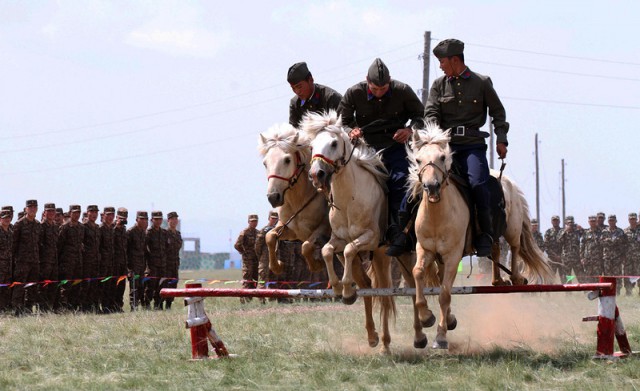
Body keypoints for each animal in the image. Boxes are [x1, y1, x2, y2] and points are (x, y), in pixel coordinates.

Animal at [258, 123, 330, 276]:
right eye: (265, 163)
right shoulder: (291, 231)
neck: (299, 200)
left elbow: (306, 246)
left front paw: (317, 265)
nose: (273, 197)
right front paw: (277, 266)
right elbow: (270, 237)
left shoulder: (323, 229)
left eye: (287, 160)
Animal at [408, 122, 552, 350]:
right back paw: (497, 281)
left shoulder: (453, 256)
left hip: (512, 229)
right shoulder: (426, 250)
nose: (431, 187)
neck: (438, 215)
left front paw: (441, 336)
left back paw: (515, 277)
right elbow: (419, 273)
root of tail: (506, 181)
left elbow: (444, 294)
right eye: (418, 160)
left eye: (442, 157)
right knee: (494, 248)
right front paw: (427, 317)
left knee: (514, 248)